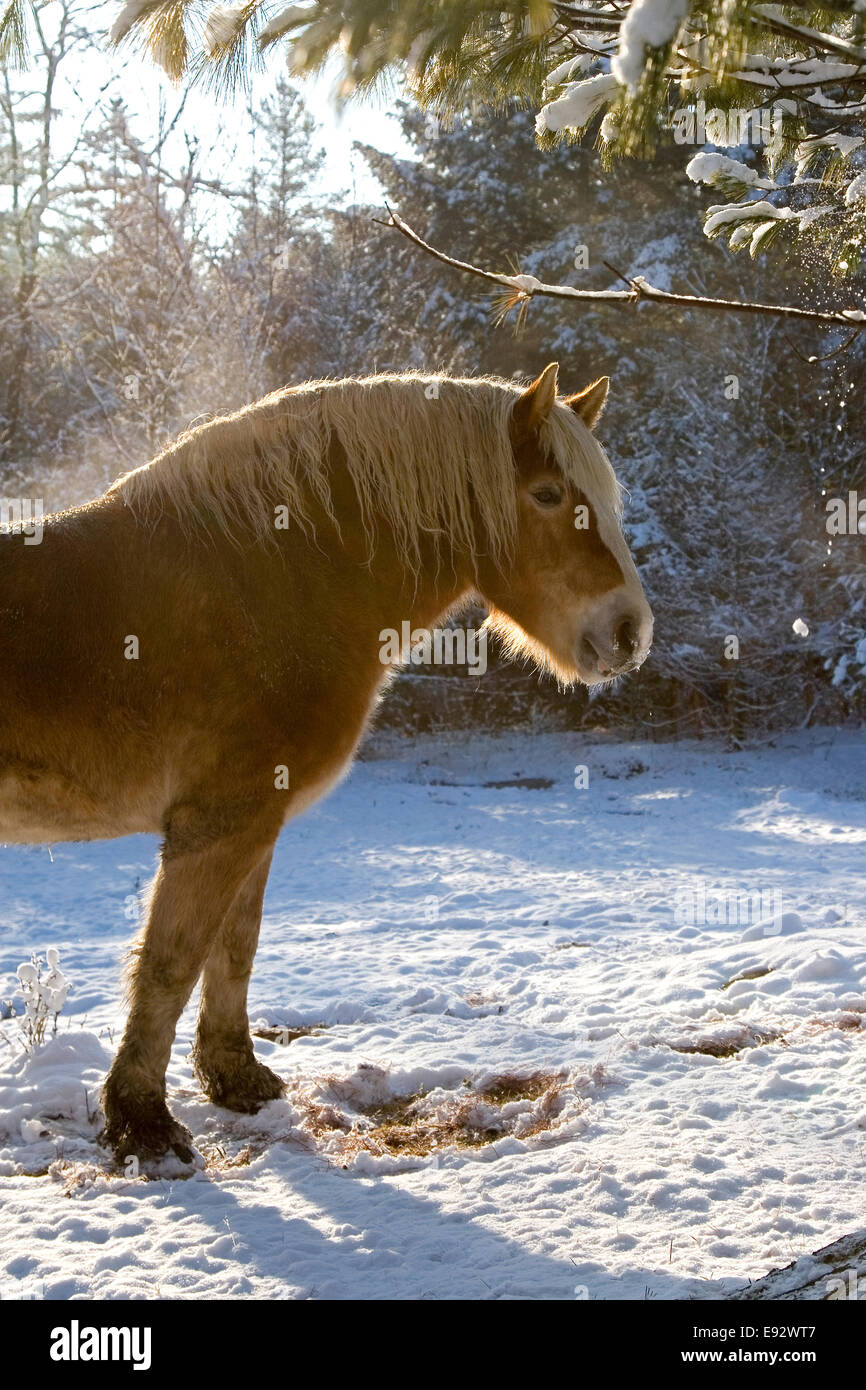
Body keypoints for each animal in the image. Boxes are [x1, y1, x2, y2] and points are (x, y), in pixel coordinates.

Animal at [0, 362, 653, 1163]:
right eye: (549, 494)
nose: (629, 632)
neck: (264, 586)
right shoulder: (218, 823)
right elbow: (171, 963)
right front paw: (144, 1123)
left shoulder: (256, 824)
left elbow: (234, 948)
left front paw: (236, 1080)